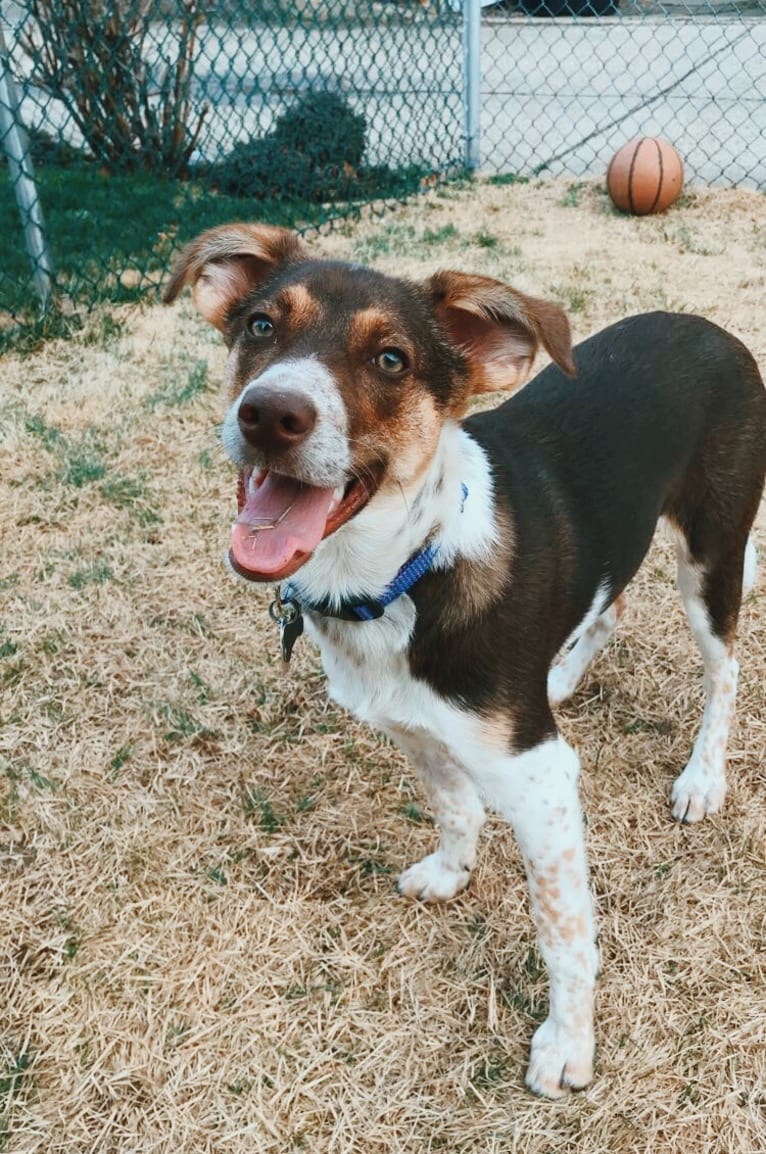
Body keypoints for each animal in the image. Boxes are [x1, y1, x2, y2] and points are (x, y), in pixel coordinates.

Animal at [162, 227, 765, 1098]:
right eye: (261, 326)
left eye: (391, 360)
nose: (270, 413)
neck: (405, 574)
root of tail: (710, 328)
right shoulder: (409, 726)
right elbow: (451, 803)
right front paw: (452, 870)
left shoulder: (542, 781)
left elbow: (562, 926)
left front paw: (567, 1044)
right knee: (610, 603)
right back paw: (562, 674)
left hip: (712, 549)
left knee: (725, 670)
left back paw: (702, 778)